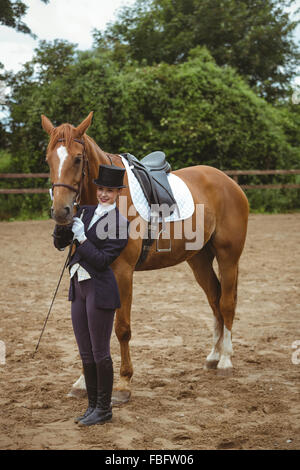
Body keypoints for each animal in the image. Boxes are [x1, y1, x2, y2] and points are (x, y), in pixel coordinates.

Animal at [41, 111, 248, 404]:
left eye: (78, 158)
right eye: (49, 159)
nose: (61, 212)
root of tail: (229, 182)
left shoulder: (123, 273)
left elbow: (121, 328)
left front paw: (123, 384)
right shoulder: (88, 270)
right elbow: (90, 329)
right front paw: (82, 382)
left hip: (229, 257)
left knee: (227, 303)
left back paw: (226, 361)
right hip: (199, 260)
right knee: (215, 300)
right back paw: (213, 356)